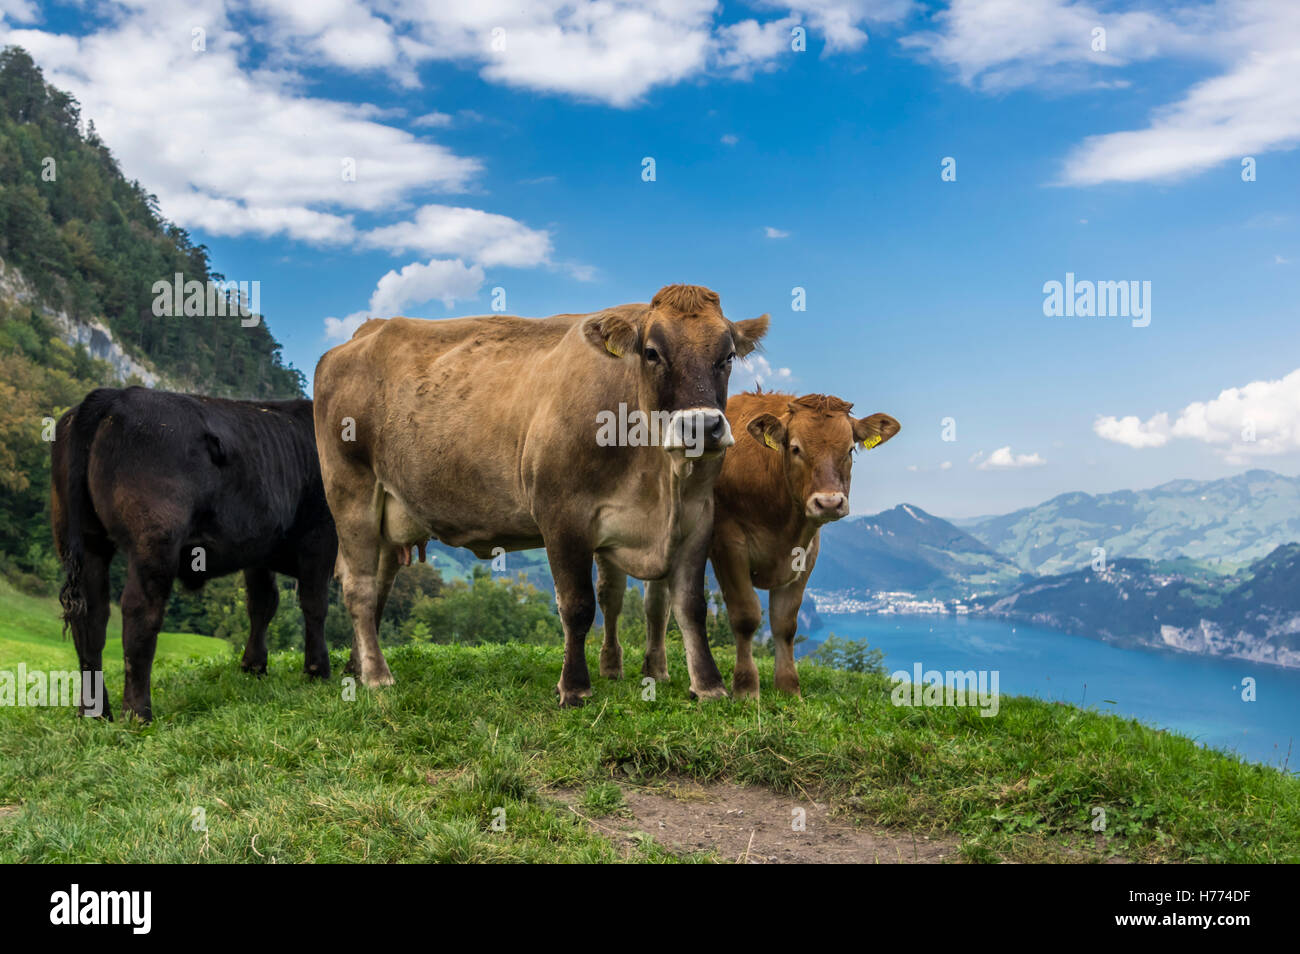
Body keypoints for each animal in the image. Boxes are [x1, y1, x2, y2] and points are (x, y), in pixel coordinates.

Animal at [52, 389, 338, 722]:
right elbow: (314, 604)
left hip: (86, 541)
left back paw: (94, 713)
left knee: (91, 617)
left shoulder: (258, 549)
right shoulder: (321, 534)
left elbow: (262, 604)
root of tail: (115, 394)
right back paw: (138, 713)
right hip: (154, 542)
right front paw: (317, 671)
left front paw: (253, 666)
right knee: (139, 612)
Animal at [310, 280, 764, 707]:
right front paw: (575, 688)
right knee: (359, 587)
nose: (702, 427)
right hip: (351, 491)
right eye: (652, 353)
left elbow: (691, 605)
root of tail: (365, 332)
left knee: (378, 585)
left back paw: (358, 666)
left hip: (391, 513)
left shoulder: (697, 516)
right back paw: (376, 676)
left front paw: (709, 685)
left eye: (727, 356)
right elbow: (577, 605)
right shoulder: (563, 516)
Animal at [598, 392, 894, 696]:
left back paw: (656, 671)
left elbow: (785, 622)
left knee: (657, 603)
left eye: (850, 450)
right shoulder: (728, 543)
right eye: (795, 448)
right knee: (612, 596)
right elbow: (745, 615)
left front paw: (789, 688)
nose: (829, 503)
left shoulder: (807, 551)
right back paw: (613, 666)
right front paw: (745, 687)